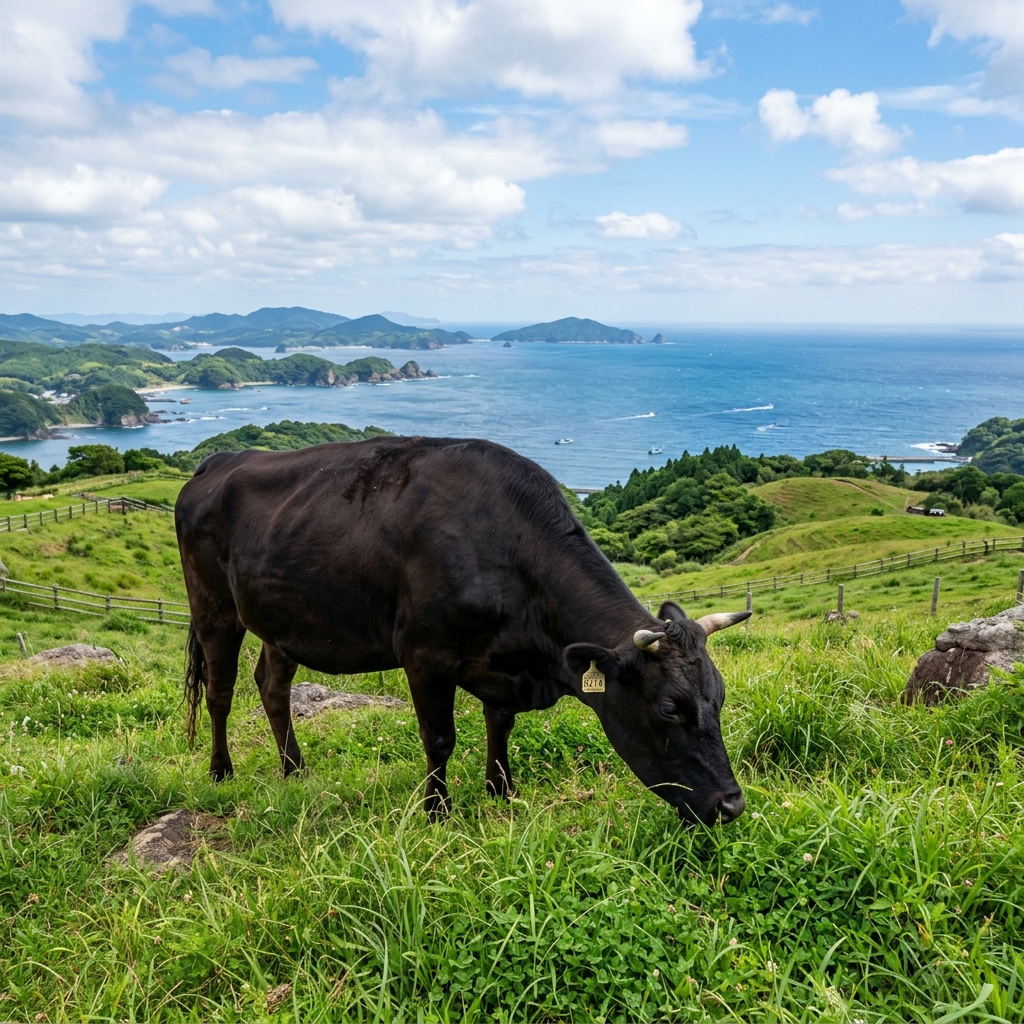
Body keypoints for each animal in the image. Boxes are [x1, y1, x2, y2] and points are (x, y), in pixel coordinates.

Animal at [175, 436, 750, 826]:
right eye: (669, 708)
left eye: (719, 698)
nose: (732, 803)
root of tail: (221, 459)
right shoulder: (425, 655)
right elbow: (440, 738)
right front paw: (438, 812)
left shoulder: (502, 661)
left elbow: (500, 724)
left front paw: (502, 790)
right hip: (213, 608)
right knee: (219, 691)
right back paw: (221, 771)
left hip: (285, 620)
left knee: (272, 684)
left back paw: (295, 770)